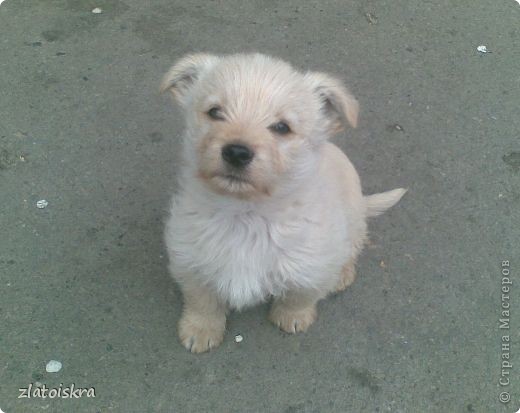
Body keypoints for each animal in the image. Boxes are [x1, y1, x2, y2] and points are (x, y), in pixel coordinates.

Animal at [162, 53, 406, 352]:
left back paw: (343, 273)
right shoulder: (189, 257)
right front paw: (200, 329)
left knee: (353, 246)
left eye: (282, 127)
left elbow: (301, 295)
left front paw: (292, 317)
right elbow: (201, 298)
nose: (237, 152)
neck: (246, 213)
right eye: (215, 112)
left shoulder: (312, 263)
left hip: (353, 218)